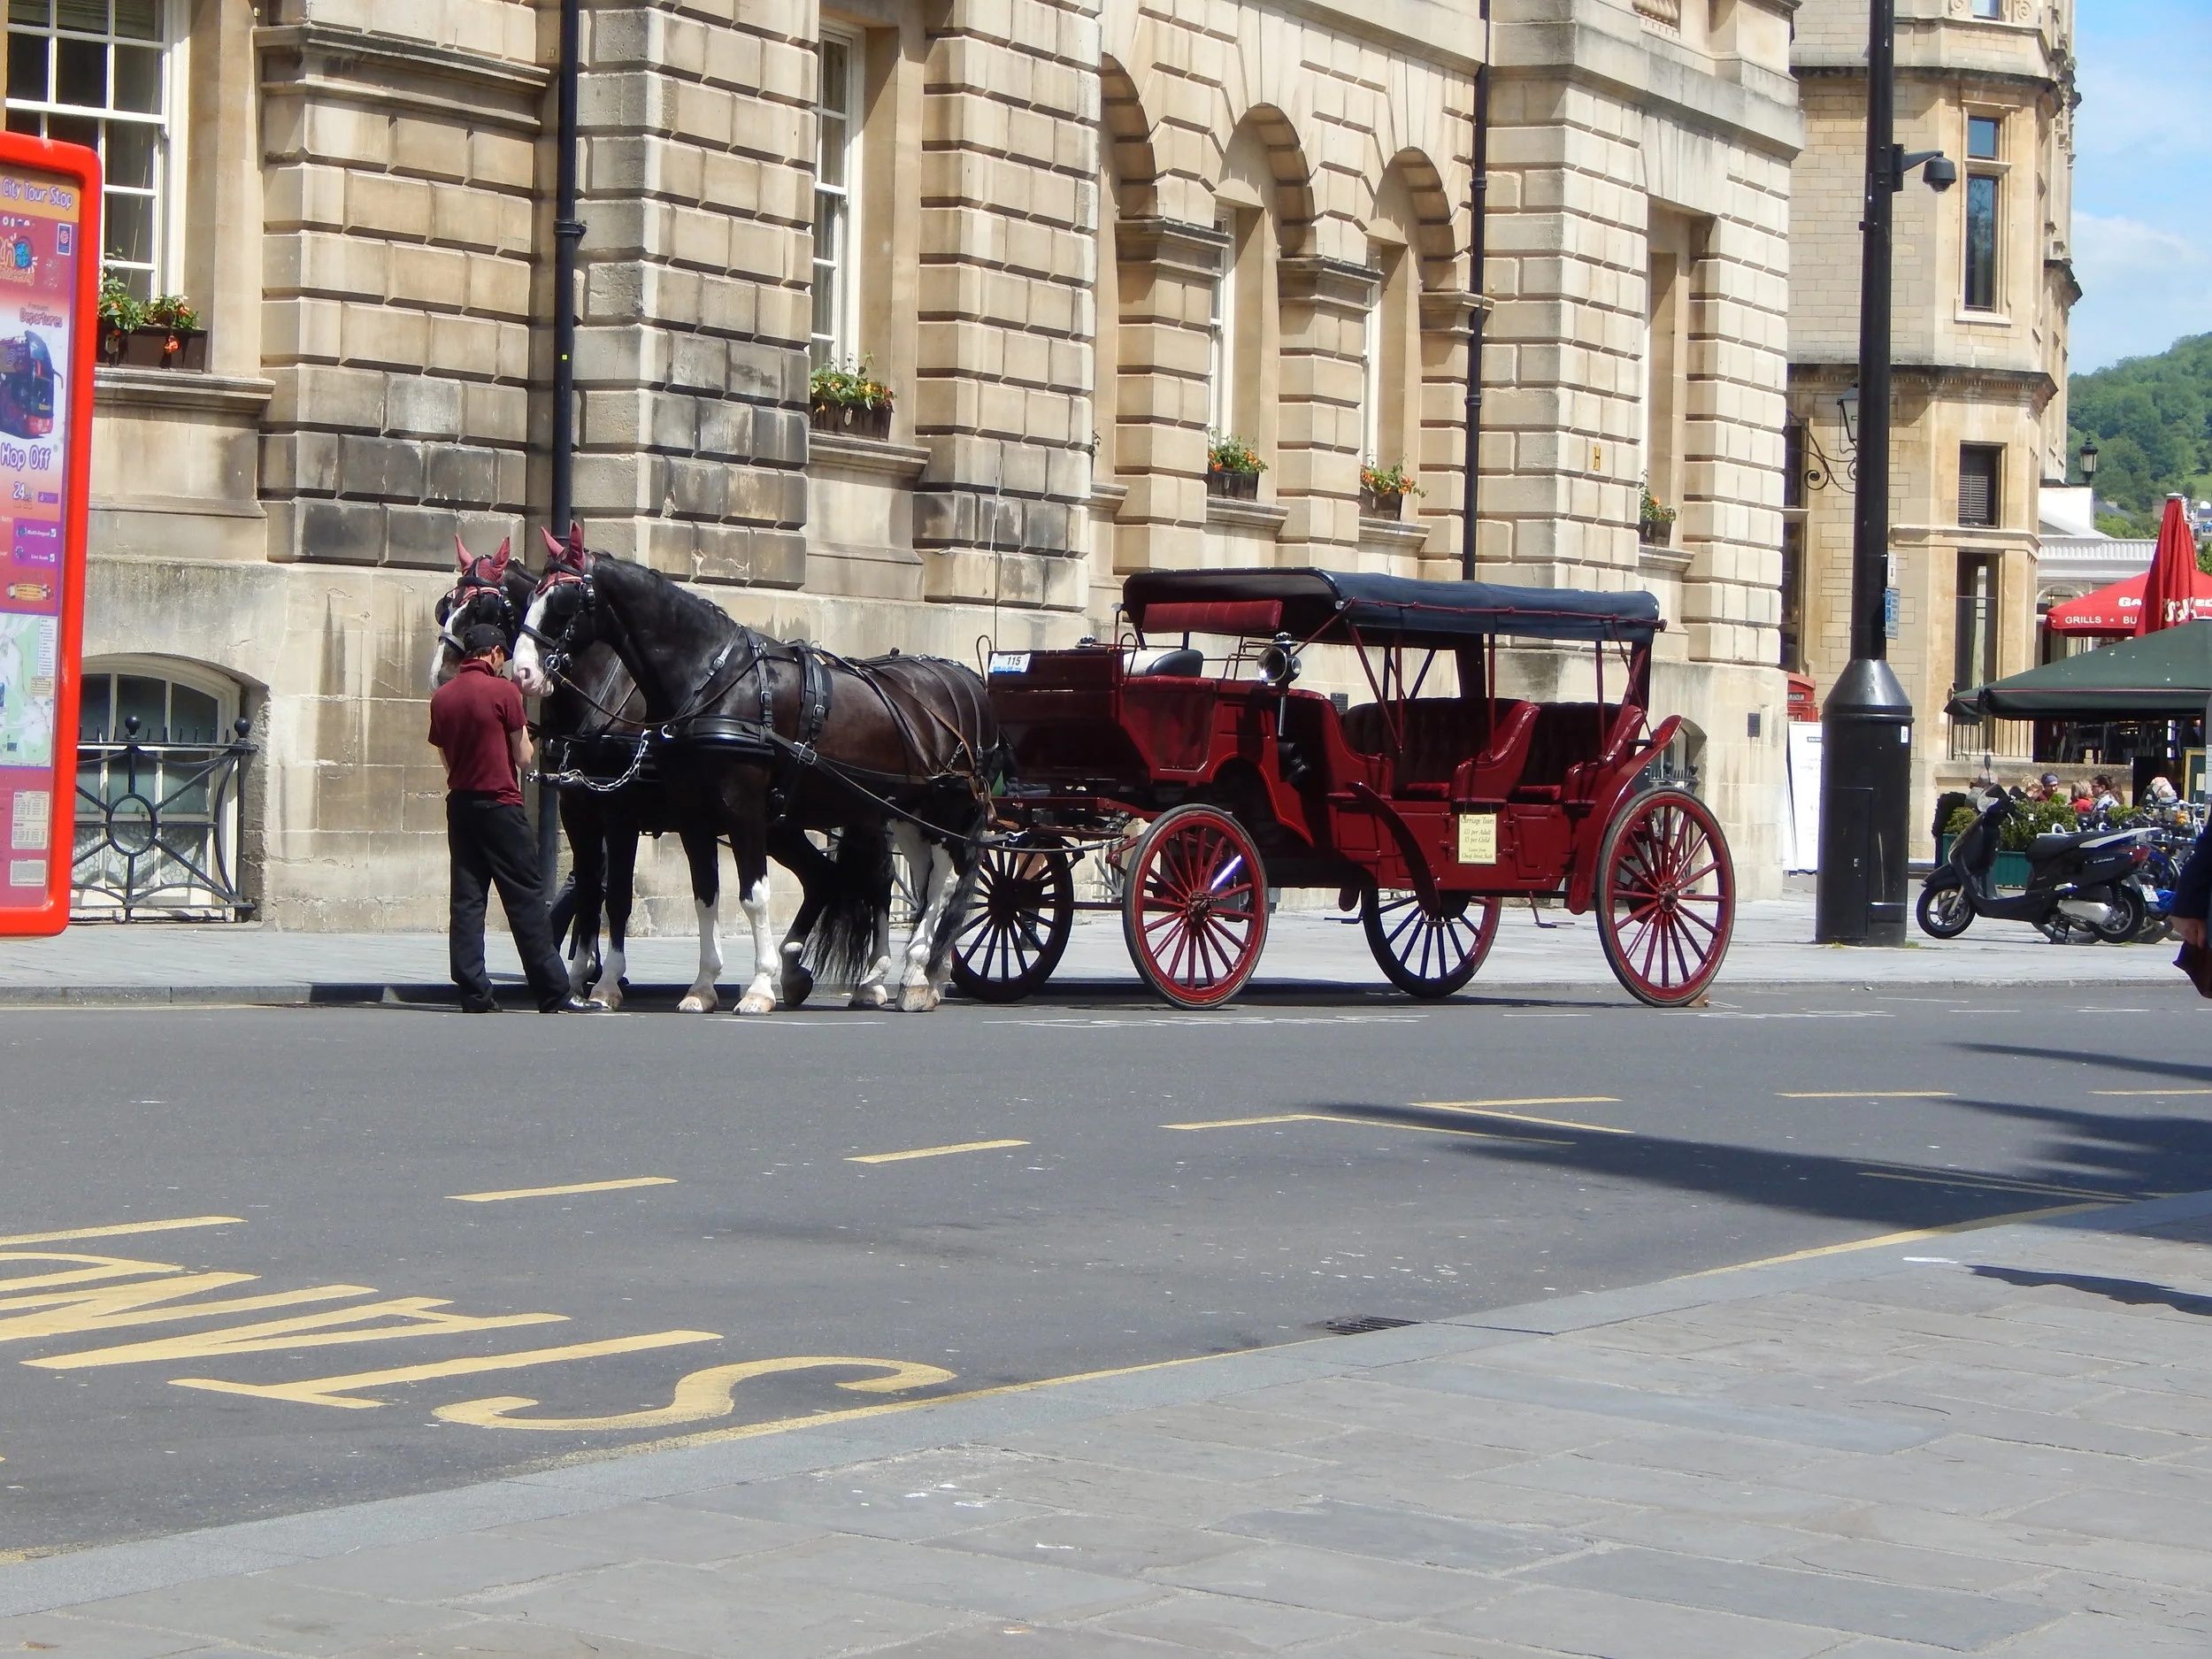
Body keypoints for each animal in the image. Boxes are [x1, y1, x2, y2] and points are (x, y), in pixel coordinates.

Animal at [430, 537, 868, 1011]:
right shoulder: (578, 812)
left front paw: (605, 983)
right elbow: (589, 891)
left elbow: (617, 897)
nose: (441, 676)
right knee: (821, 877)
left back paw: (870, 980)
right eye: (446, 606)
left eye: (482, 610)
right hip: (779, 822)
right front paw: (578, 978)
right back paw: (794, 971)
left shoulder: (620, 813)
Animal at [509, 536, 997, 1013]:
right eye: (529, 600)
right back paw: (900, 975)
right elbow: (702, 893)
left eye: (564, 601)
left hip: (943, 809)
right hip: (896, 813)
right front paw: (701, 986)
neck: (711, 680)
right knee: (899, 879)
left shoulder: (719, 810)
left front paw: (759, 986)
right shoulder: (687, 814)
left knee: (941, 883)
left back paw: (911, 975)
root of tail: (965, 677)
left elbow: (749, 895)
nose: (523, 673)